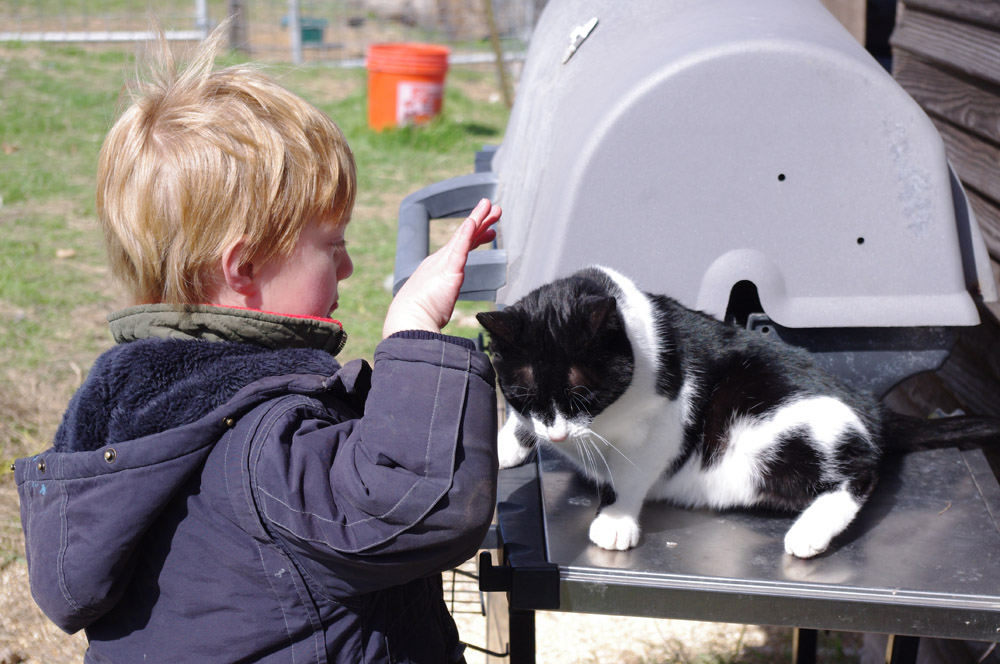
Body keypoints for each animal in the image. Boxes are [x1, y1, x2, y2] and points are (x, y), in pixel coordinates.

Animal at [476, 265, 995, 558]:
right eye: (522, 393)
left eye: (582, 396)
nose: (556, 436)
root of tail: (870, 404)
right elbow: (521, 425)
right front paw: (507, 444)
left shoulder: (663, 425)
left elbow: (630, 473)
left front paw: (617, 518)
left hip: (790, 431)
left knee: (861, 470)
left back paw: (811, 532)